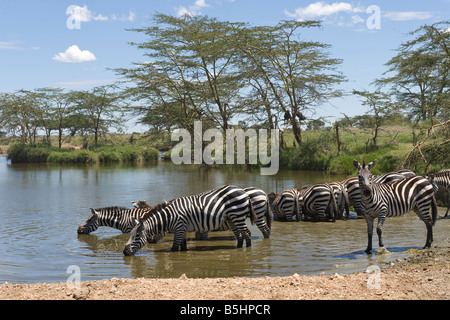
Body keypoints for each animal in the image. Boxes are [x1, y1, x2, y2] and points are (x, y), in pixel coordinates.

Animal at [123, 185, 256, 255]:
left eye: (137, 236)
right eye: (130, 235)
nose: (124, 252)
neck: (169, 216)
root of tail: (242, 190)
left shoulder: (179, 227)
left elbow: (174, 248)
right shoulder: (182, 229)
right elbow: (183, 246)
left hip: (237, 216)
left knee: (247, 233)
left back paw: (247, 249)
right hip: (231, 219)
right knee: (240, 234)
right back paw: (238, 247)